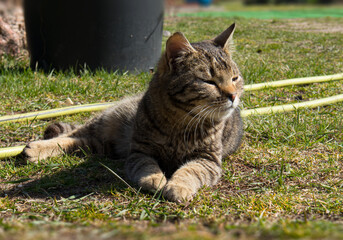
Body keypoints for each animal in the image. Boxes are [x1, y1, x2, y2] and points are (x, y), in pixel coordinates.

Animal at [21, 23, 245, 202]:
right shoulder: (139, 151)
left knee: (76, 141)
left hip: (101, 145)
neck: (180, 121)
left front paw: (177, 186)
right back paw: (36, 148)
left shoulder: (208, 160)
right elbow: (147, 165)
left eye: (235, 78)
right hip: (105, 122)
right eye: (209, 81)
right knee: (70, 134)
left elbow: (190, 171)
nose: (233, 95)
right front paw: (155, 178)